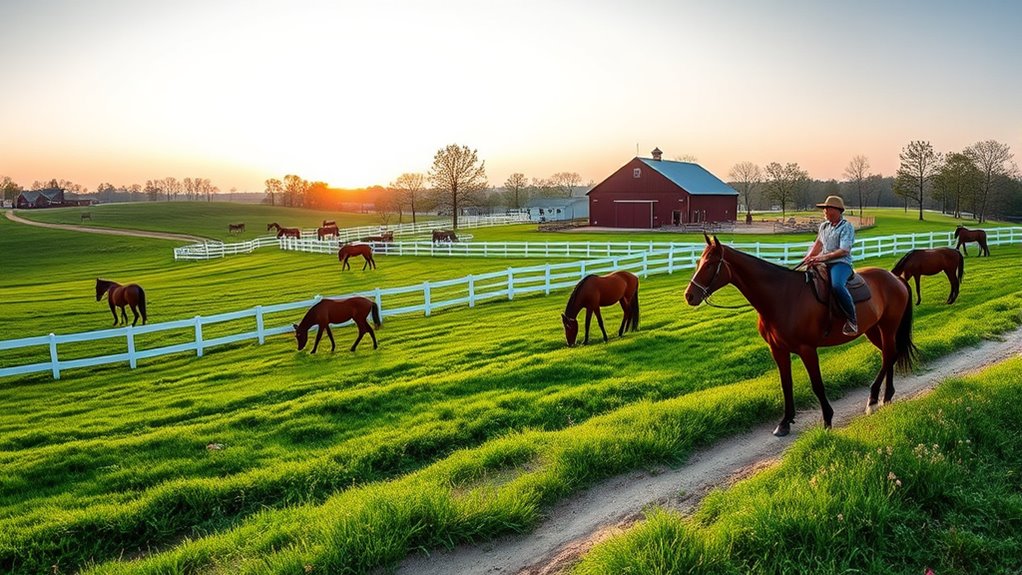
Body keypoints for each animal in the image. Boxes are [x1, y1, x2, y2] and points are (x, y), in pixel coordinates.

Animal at [684, 234, 916, 437]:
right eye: (698, 262)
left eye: (709, 265)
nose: (689, 296)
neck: (781, 296)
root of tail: (895, 278)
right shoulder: (778, 350)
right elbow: (786, 384)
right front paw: (785, 423)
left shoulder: (807, 350)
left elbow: (817, 384)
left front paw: (827, 420)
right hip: (873, 330)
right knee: (890, 355)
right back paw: (886, 396)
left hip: (887, 327)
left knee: (888, 356)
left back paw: (873, 399)